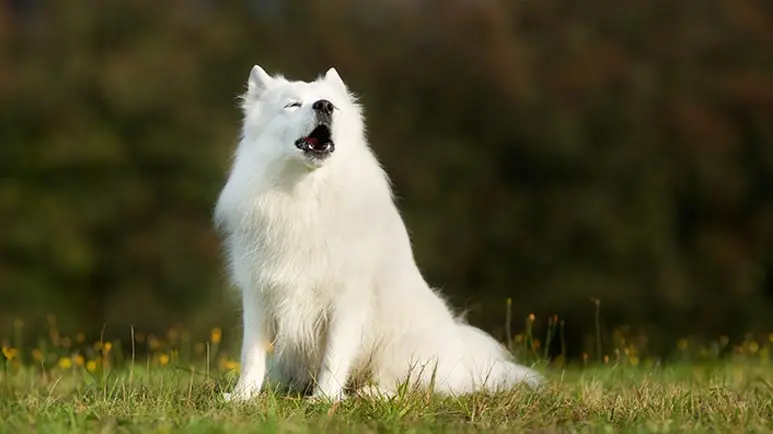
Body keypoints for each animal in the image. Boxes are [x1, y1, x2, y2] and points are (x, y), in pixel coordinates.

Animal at [213, 64, 544, 400]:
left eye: (333, 105)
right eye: (292, 104)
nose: (324, 106)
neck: (305, 196)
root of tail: (464, 363)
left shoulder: (346, 299)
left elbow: (334, 355)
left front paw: (324, 399)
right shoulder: (259, 293)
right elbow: (251, 354)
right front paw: (242, 398)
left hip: (404, 345)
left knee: (408, 386)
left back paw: (370, 393)